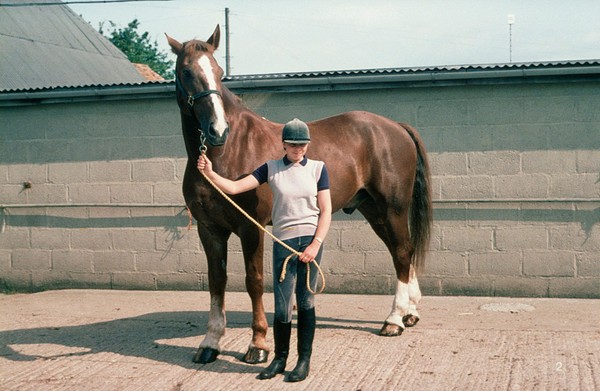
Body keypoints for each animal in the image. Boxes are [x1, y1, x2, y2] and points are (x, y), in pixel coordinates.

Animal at [166, 26, 434, 366]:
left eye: (218, 72)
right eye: (187, 71)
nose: (217, 130)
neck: (228, 151)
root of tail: (395, 127)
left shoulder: (251, 228)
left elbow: (254, 281)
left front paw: (258, 345)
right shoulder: (210, 230)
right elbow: (217, 281)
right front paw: (210, 343)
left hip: (392, 208)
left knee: (401, 252)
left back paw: (394, 320)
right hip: (374, 212)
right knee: (404, 252)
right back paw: (410, 312)